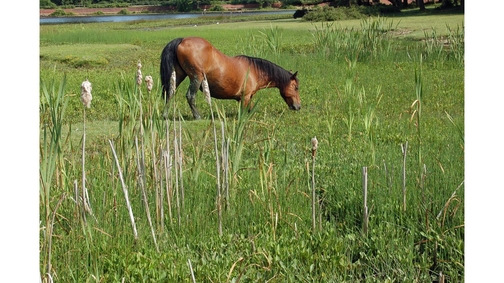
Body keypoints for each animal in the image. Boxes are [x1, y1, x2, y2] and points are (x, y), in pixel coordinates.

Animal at [160, 37, 300, 120]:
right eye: (296, 88)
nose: (298, 107)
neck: (255, 71)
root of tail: (182, 40)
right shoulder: (245, 96)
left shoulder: (246, 98)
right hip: (197, 77)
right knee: (190, 96)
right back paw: (197, 116)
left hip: (178, 75)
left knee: (170, 94)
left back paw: (165, 115)